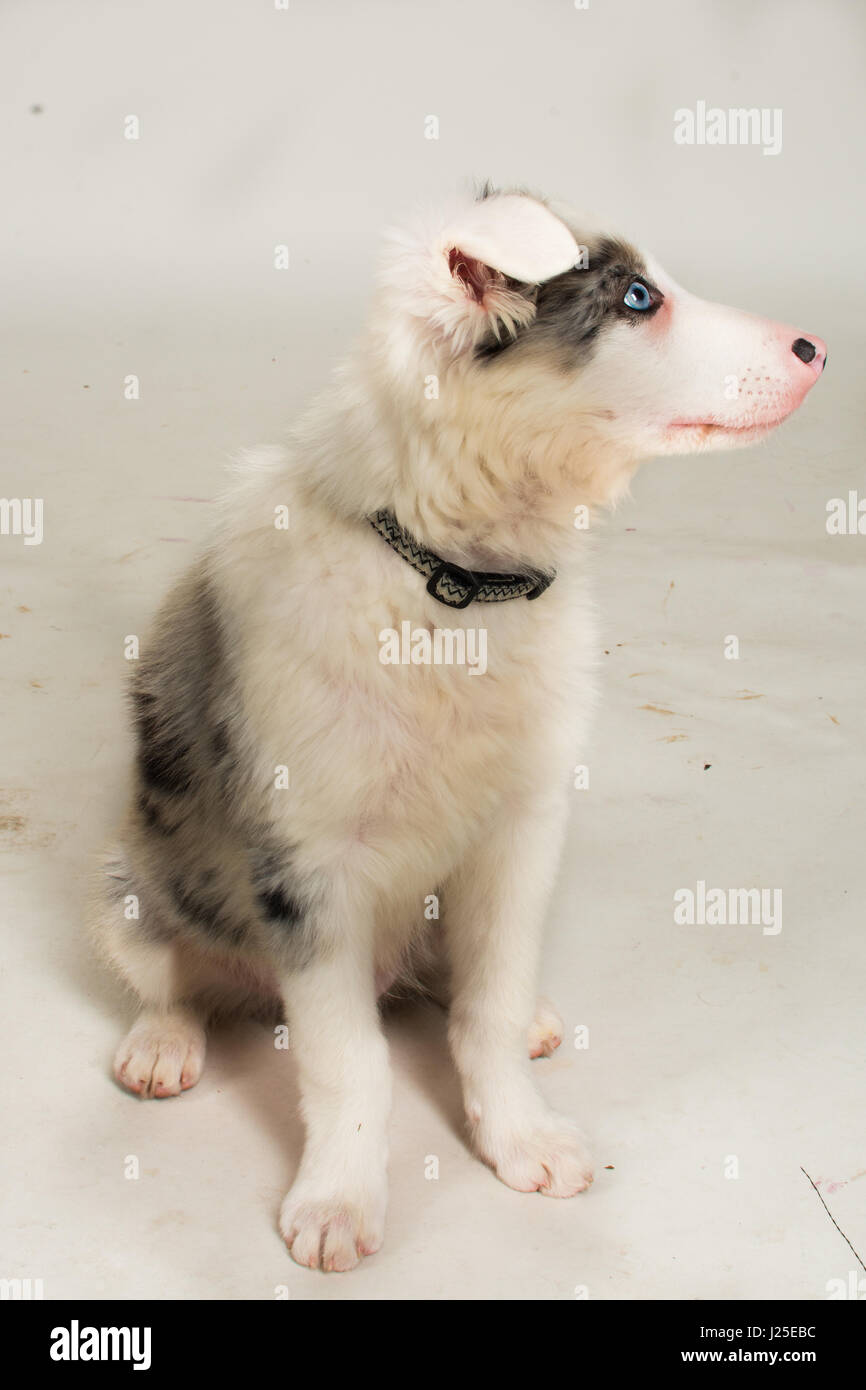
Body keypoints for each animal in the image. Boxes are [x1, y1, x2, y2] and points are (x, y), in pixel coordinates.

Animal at [91, 182, 828, 1273]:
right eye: (637, 298)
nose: (815, 347)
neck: (454, 586)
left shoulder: (524, 832)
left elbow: (485, 1008)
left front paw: (518, 1134)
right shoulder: (309, 869)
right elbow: (348, 1059)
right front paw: (340, 1200)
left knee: (454, 981)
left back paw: (527, 1018)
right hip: (138, 887)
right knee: (174, 976)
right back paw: (164, 1040)